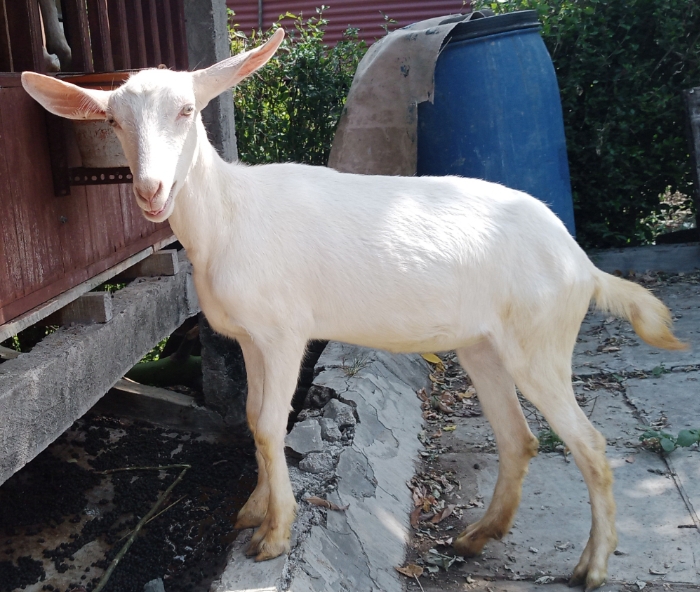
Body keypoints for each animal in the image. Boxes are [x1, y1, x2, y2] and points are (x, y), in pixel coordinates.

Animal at [21, 29, 686, 591]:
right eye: (112, 120)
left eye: (187, 111)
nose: (150, 191)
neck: (229, 216)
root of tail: (582, 265)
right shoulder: (252, 338)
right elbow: (253, 420)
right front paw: (254, 511)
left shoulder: (284, 332)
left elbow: (270, 423)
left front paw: (274, 536)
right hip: (484, 344)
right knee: (519, 438)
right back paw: (478, 537)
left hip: (539, 340)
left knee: (590, 444)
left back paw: (591, 566)